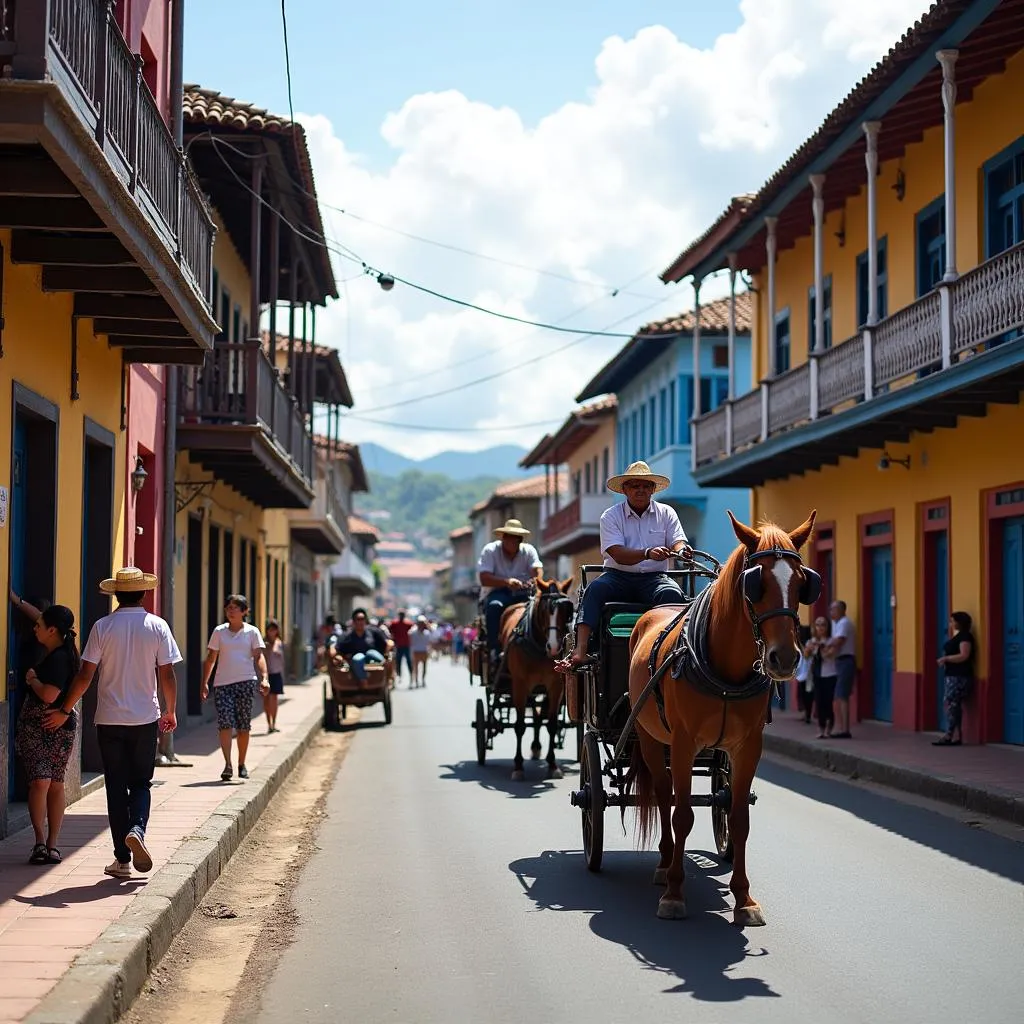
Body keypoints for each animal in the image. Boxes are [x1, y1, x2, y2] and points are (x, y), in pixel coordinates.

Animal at [497, 577, 577, 782]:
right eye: (544, 610)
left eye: (567, 611)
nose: (554, 647)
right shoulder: (520, 685)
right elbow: (519, 725)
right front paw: (518, 766)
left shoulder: (556, 686)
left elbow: (552, 724)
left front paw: (553, 764)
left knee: (538, 716)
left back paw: (536, 747)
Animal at [622, 512, 815, 929]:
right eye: (755, 584)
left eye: (802, 583)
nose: (785, 658)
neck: (725, 668)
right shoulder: (682, 744)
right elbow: (681, 815)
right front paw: (674, 894)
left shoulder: (747, 747)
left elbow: (739, 818)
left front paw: (744, 899)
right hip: (650, 738)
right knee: (663, 795)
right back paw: (664, 865)